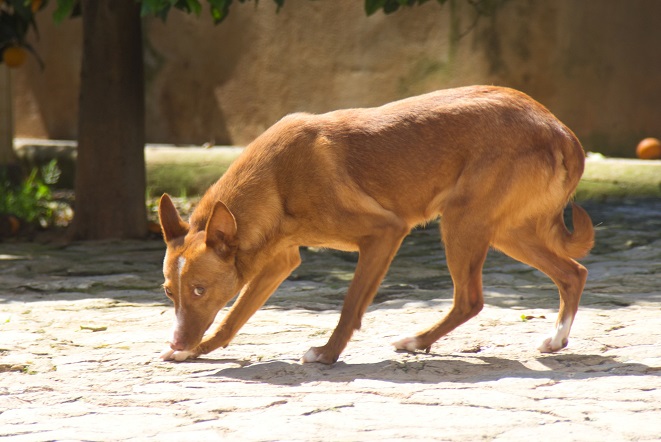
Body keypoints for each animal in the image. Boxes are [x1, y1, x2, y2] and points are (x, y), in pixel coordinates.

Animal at [158, 85, 594, 364]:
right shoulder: (280, 261)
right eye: (168, 292)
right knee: (573, 272)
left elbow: (350, 306)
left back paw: (418, 341)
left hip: (462, 222)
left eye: (199, 289)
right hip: (505, 232)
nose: (176, 337)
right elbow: (233, 319)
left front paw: (326, 355)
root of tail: (560, 129)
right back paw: (557, 338)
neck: (276, 179)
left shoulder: (384, 233)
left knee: (470, 299)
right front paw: (194, 350)